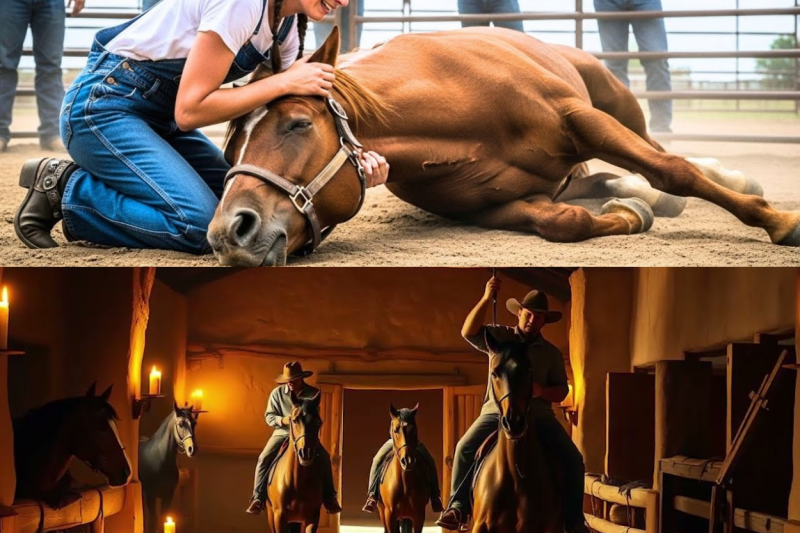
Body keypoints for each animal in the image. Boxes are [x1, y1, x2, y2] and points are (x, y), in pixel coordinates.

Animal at [139, 402, 199, 533]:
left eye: (194, 423)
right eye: (180, 424)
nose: (192, 449)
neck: (161, 459)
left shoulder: (168, 495)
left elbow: (163, 519)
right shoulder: (150, 496)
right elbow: (153, 520)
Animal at [208, 26, 800, 266]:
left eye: (297, 123)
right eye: (229, 150)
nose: (229, 232)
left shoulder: (582, 119)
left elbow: (672, 169)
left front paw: (779, 222)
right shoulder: (487, 209)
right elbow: (567, 223)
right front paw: (630, 214)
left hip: (616, 104)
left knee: (660, 153)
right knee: (601, 181)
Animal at [266, 390, 326, 533]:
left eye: (318, 422)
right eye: (294, 420)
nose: (306, 453)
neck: (297, 480)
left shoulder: (312, 517)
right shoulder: (279, 517)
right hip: (271, 515)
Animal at [378, 403, 431, 533]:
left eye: (414, 430)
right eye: (395, 430)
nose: (408, 461)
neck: (405, 482)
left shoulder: (418, 516)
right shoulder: (389, 515)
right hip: (382, 511)